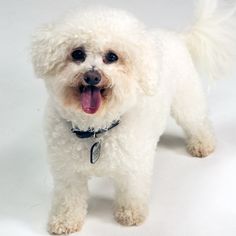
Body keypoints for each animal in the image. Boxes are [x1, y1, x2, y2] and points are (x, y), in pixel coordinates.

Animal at [31, 0, 236, 234]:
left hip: (187, 98)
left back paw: (202, 144)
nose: (92, 76)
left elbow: (132, 191)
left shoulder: (133, 167)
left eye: (112, 57)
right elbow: (69, 198)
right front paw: (65, 220)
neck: (96, 130)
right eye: (77, 54)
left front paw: (130, 214)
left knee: (197, 120)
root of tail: (177, 36)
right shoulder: (67, 171)